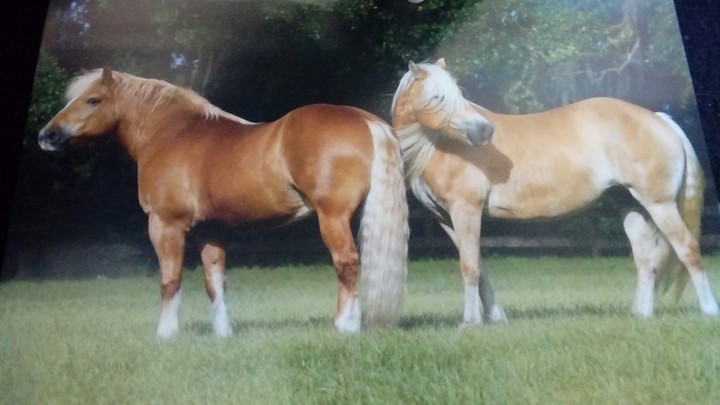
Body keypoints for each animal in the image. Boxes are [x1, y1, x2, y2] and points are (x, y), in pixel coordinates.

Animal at [39, 67, 409, 338]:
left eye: (93, 100)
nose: (47, 135)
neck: (171, 134)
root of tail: (366, 121)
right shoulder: (210, 231)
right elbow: (215, 281)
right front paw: (223, 333)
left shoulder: (165, 224)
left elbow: (170, 280)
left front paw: (165, 335)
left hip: (332, 217)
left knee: (346, 264)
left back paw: (345, 327)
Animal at [391, 58, 719, 328]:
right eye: (438, 97)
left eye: (459, 95)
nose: (485, 131)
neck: (438, 145)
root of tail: (661, 119)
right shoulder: (447, 218)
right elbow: (479, 265)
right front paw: (495, 318)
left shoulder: (466, 210)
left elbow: (469, 266)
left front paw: (470, 322)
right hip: (632, 206)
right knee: (646, 258)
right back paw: (642, 314)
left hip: (660, 205)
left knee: (688, 249)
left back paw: (708, 310)